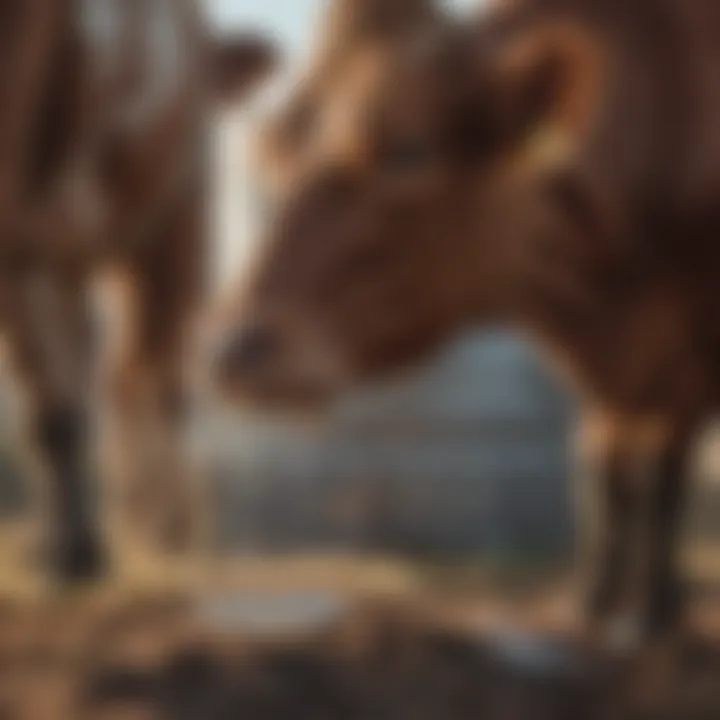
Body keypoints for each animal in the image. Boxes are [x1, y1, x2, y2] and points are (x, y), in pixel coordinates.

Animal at [0, 0, 276, 584]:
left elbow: (78, 396)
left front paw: (84, 548)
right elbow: (57, 402)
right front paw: (73, 547)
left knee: (145, 372)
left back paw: (158, 526)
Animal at [214, 0, 720, 640]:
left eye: (409, 149)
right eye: (278, 149)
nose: (236, 346)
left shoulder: (686, 364)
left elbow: (664, 473)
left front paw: (654, 607)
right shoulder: (616, 379)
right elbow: (606, 467)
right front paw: (598, 600)